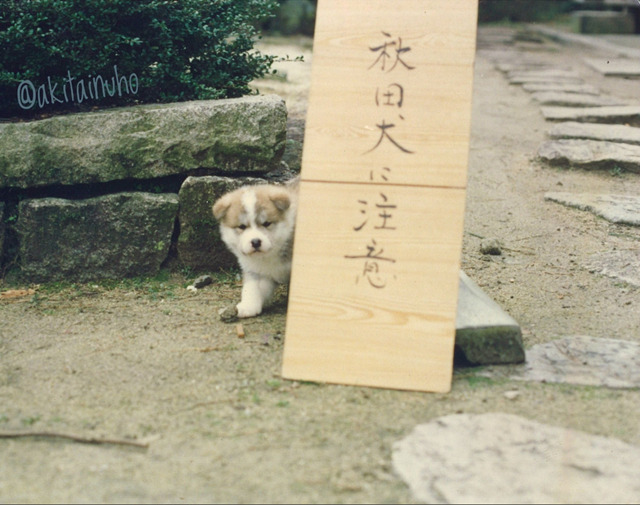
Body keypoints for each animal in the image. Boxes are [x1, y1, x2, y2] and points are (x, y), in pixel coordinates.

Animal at [212, 179, 298, 316]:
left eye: (266, 223)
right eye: (242, 226)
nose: (256, 242)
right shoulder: (256, 270)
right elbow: (252, 289)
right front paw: (248, 306)